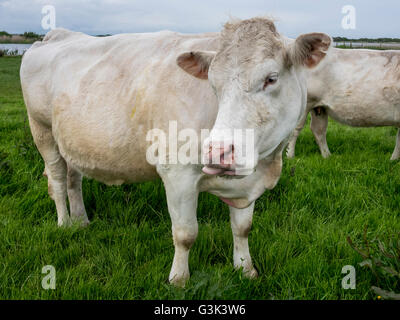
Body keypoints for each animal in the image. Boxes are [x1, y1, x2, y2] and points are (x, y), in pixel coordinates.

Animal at [20, 18, 330, 286]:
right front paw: (179, 279)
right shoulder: (177, 174)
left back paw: (81, 221)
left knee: (74, 179)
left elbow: (242, 228)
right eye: (213, 85)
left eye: (271, 78)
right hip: (42, 130)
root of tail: (55, 35)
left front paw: (245, 269)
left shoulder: (245, 181)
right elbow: (185, 234)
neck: (266, 165)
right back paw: (64, 223)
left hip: (71, 141)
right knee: (58, 179)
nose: (218, 152)